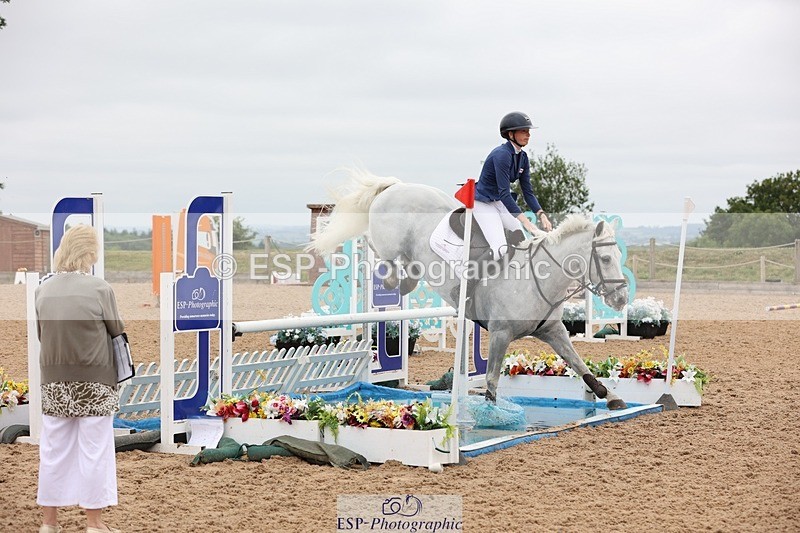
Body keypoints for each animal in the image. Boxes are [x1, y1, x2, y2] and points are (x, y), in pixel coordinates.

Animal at [310, 171, 630, 410]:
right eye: (604, 259)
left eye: (618, 256)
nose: (621, 299)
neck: (538, 278)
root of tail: (395, 187)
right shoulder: (500, 334)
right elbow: (491, 381)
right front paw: (491, 415)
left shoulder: (553, 331)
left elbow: (580, 364)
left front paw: (611, 396)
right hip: (386, 241)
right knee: (379, 251)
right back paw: (390, 280)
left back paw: (405, 280)